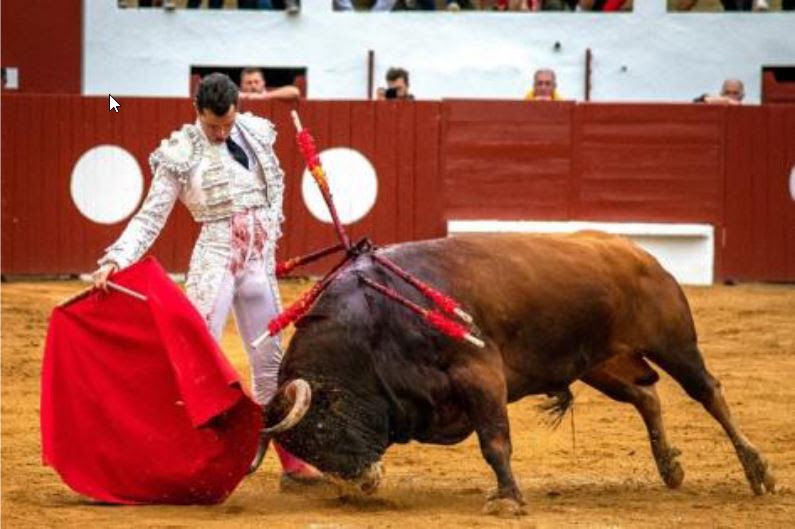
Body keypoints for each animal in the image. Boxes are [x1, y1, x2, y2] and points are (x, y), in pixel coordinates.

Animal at [264, 231, 776, 512]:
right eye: (308, 447)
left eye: (325, 426)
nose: (364, 483)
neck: (373, 322)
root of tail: (634, 251)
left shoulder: (481, 374)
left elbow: (494, 441)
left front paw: (507, 499)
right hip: (599, 363)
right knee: (646, 396)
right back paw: (670, 467)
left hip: (675, 344)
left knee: (709, 393)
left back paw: (758, 472)